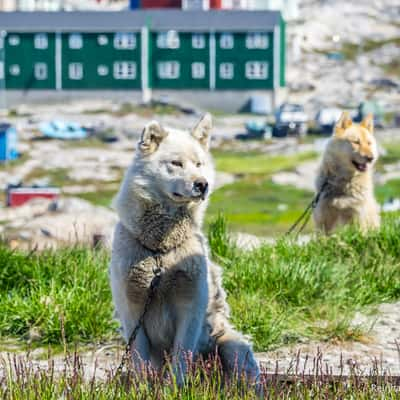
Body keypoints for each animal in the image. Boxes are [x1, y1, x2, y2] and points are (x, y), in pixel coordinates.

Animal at [108, 114, 260, 382]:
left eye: (199, 164)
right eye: (176, 163)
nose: (202, 184)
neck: (160, 251)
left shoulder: (190, 305)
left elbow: (181, 355)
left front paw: (176, 386)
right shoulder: (132, 306)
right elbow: (139, 358)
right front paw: (143, 387)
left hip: (233, 348)